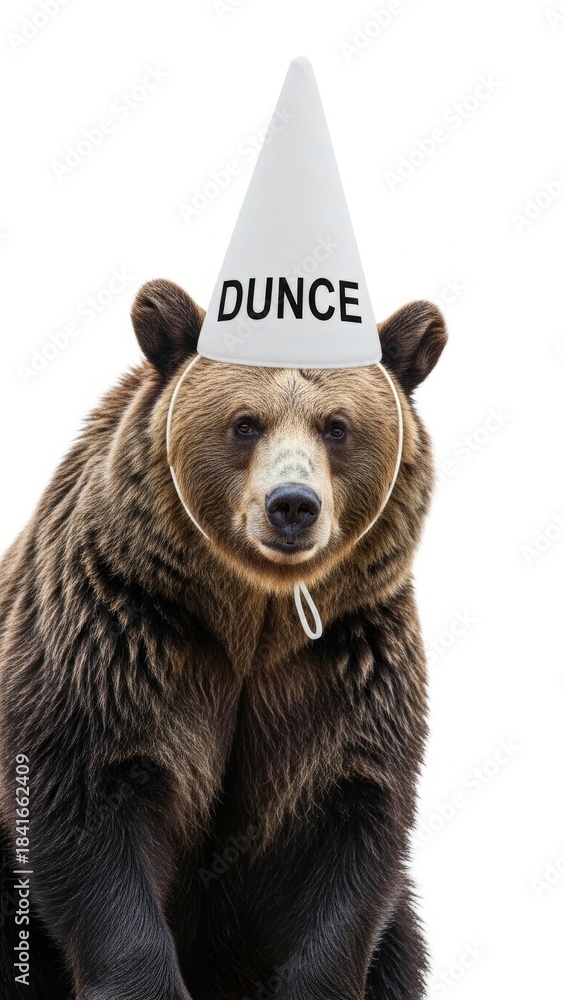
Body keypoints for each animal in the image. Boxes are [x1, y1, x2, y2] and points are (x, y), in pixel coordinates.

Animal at [0, 278, 447, 1000]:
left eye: (336, 426)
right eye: (245, 423)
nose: (292, 506)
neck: (252, 617)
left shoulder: (342, 665)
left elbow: (343, 825)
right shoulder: (119, 638)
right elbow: (91, 805)